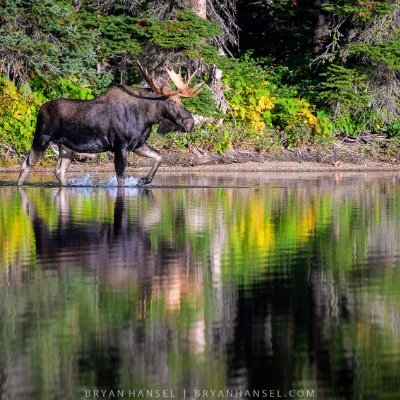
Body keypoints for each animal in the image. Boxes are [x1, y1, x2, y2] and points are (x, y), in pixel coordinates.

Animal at [17, 63, 203, 186]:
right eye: (171, 101)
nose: (190, 123)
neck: (148, 117)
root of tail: (40, 110)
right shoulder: (120, 145)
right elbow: (121, 178)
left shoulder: (137, 144)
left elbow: (159, 156)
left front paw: (145, 179)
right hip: (41, 139)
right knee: (26, 164)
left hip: (65, 147)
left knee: (59, 171)